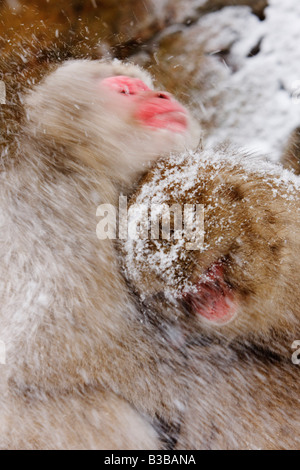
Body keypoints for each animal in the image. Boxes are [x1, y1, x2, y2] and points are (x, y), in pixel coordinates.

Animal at [0, 58, 202, 448]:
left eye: (145, 87)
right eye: (125, 91)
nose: (162, 95)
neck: (75, 159)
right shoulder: (63, 206)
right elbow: (49, 347)